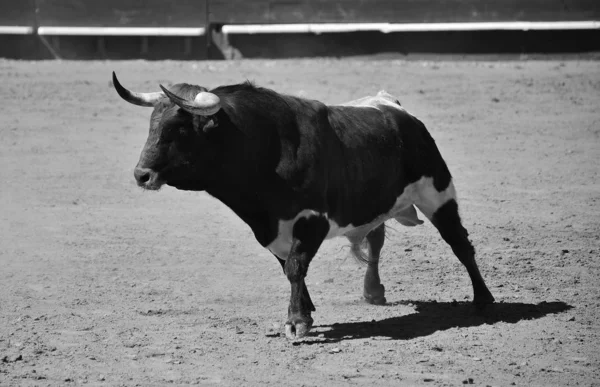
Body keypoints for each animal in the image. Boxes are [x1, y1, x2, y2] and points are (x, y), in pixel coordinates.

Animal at [113, 72, 496, 340]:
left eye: (178, 129)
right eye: (152, 125)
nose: (141, 174)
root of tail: (392, 107)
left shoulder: (312, 220)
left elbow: (296, 266)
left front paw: (296, 321)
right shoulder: (268, 229)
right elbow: (287, 266)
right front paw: (306, 311)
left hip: (438, 193)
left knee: (460, 243)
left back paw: (483, 300)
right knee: (376, 240)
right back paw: (373, 292)